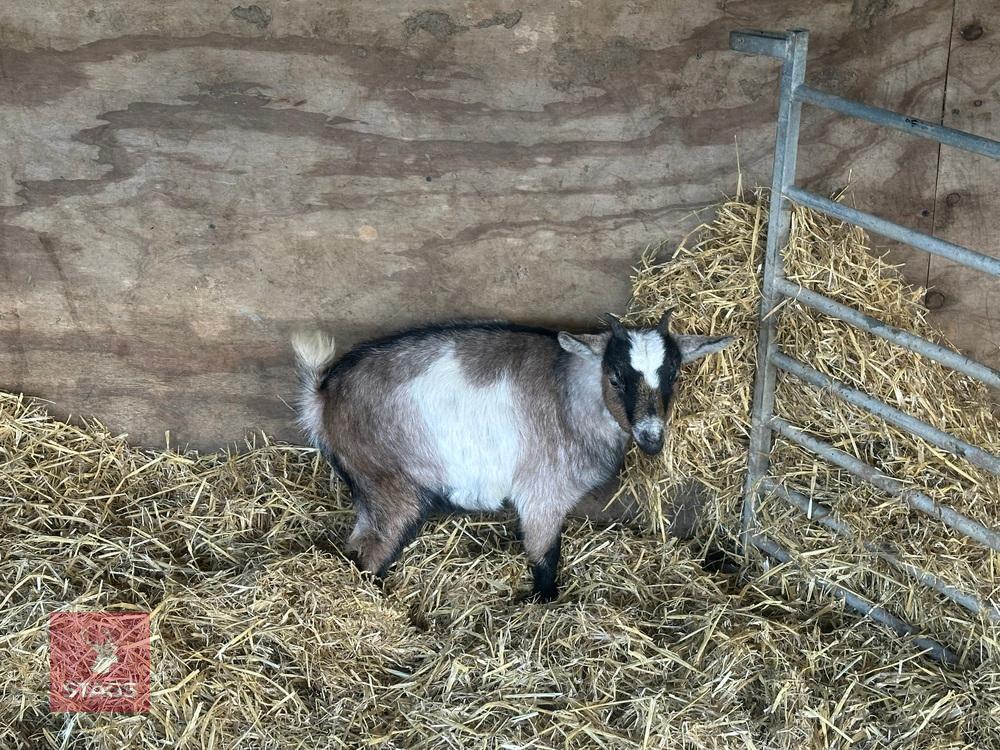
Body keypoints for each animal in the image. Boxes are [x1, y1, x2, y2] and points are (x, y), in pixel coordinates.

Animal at [292, 313, 732, 601]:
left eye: (672, 375)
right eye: (616, 377)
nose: (651, 438)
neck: (569, 394)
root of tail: (323, 394)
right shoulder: (543, 493)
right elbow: (544, 558)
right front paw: (540, 601)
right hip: (388, 486)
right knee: (369, 553)